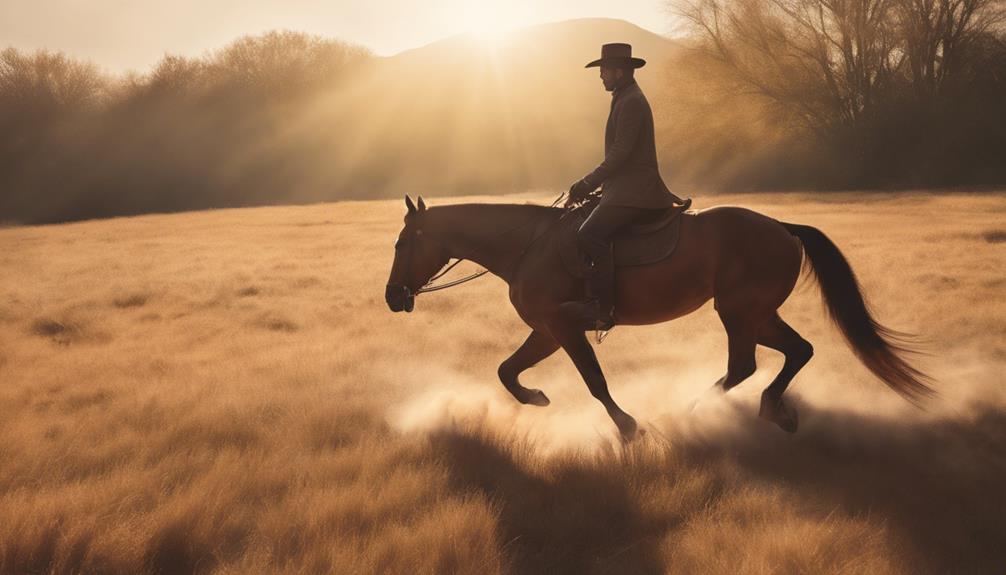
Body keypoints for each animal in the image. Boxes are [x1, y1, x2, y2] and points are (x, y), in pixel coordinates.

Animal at [384, 194, 933, 440]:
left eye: (402, 243)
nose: (392, 297)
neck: (527, 248)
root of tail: (782, 226)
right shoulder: (546, 331)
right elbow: (506, 370)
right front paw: (537, 398)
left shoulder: (563, 327)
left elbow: (595, 382)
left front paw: (628, 428)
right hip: (757, 314)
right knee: (797, 351)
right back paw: (773, 411)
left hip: (739, 312)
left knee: (745, 366)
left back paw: (693, 411)